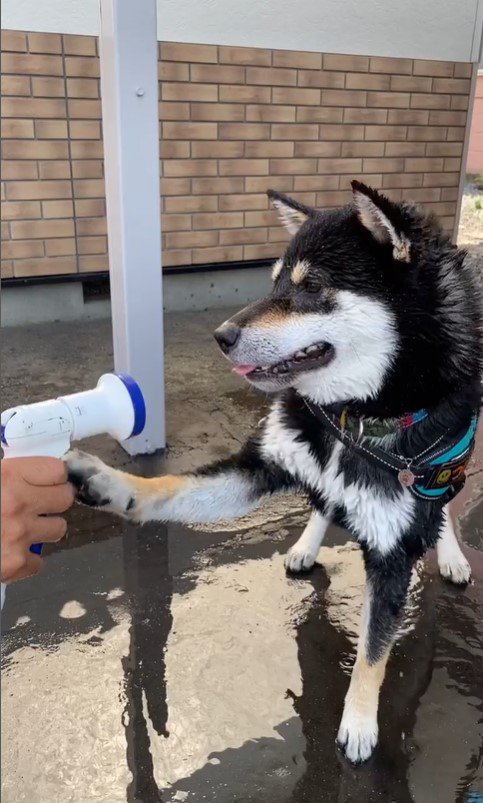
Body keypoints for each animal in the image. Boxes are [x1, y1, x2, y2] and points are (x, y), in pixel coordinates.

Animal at [67, 184, 480, 768]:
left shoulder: (393, 550)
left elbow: (374, 648)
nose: (221, 336)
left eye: (312, 287)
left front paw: (359, 721)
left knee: (441, 503)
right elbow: (173, 489)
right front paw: (113, 485)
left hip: (449, 467)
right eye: (277, 283)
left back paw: (450, 554)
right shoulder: (266, 461)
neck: (353, 416)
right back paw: (307, 545)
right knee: (324, 500)